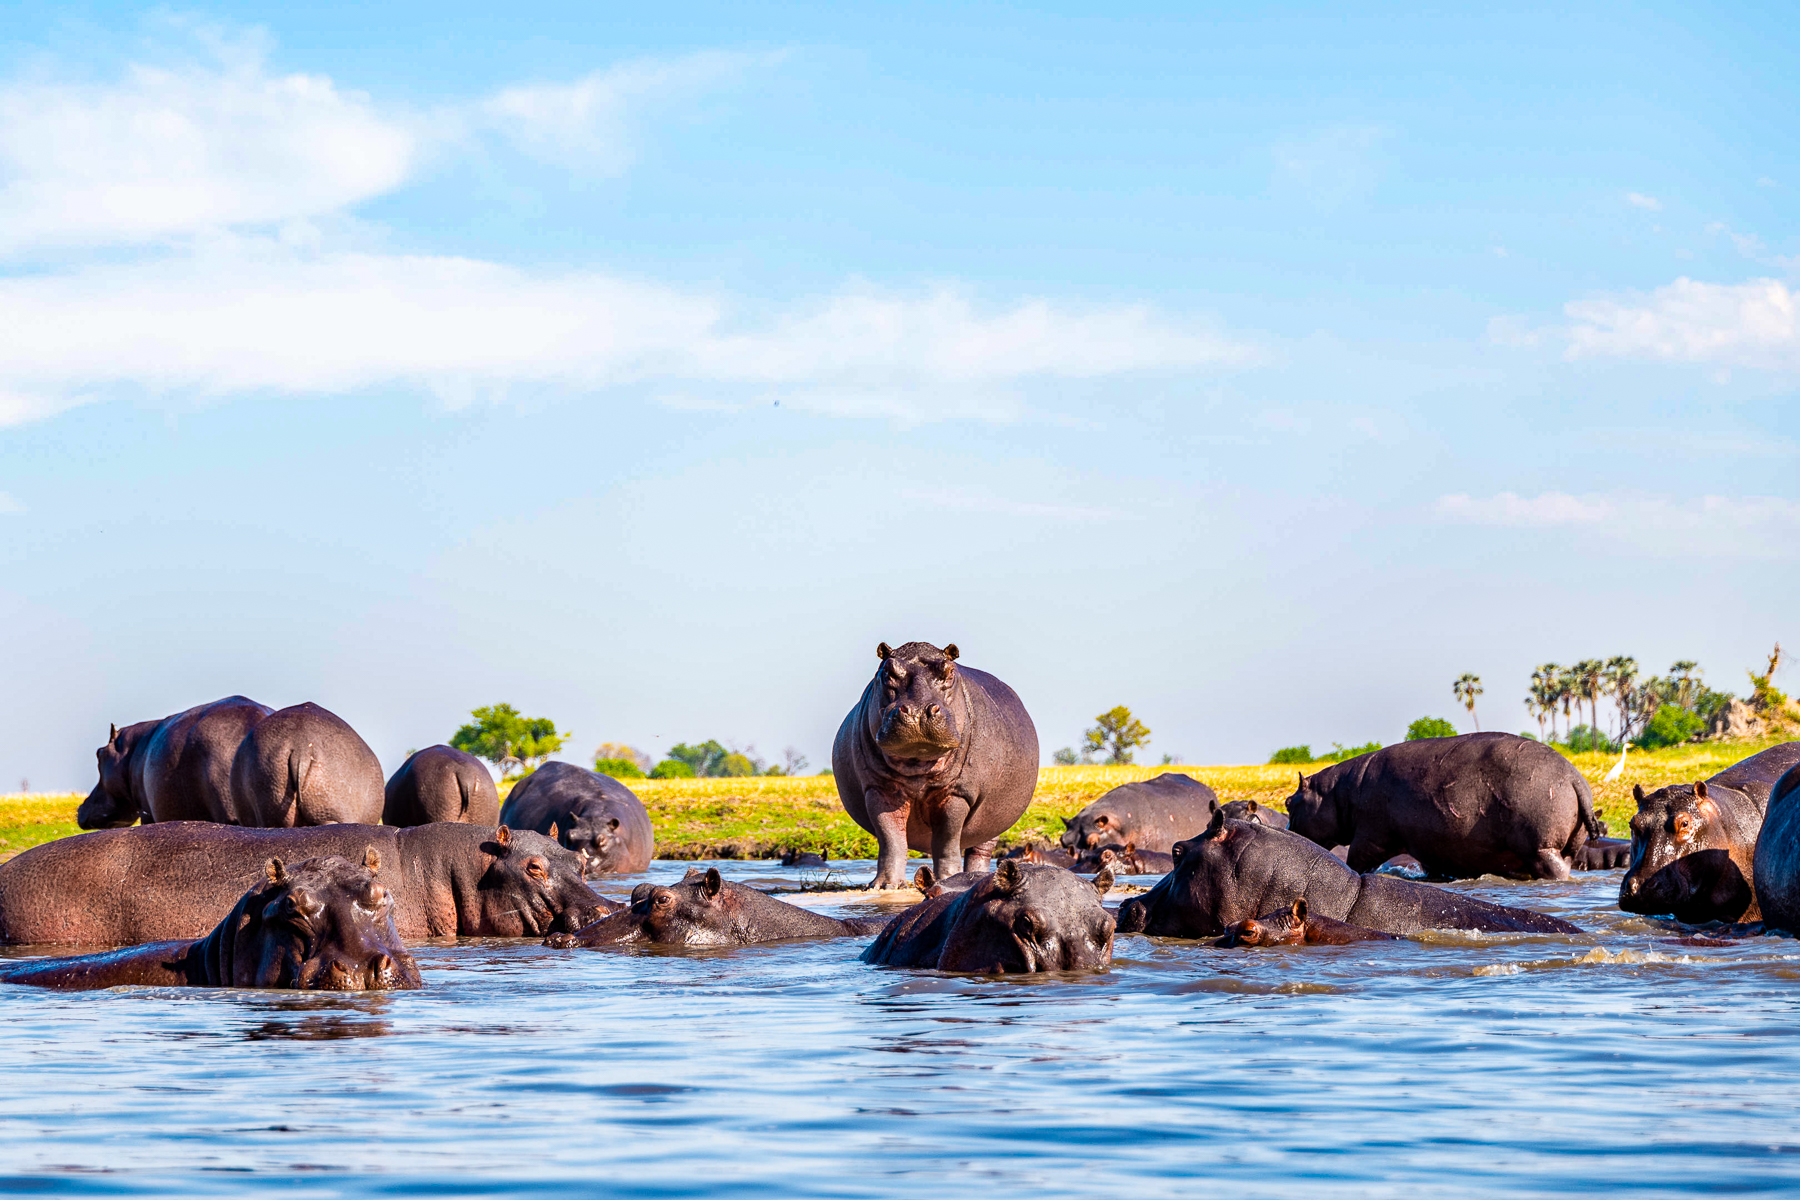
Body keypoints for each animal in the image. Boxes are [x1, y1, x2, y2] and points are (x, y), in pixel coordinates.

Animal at [834, 641, 1039, 889]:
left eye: (950, 671)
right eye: (887, 672)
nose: (918, 711)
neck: (918, 763)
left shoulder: (957, 793)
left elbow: (946, 840)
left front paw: (949, 878)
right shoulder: (878, 789)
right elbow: (890, 838)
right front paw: (885, 886)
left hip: (994, 821)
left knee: (979, 850)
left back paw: (978, 877)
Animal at [1284, 732, 1602, 880]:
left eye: (1289, 802)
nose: (1286, 829)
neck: (1337, 792)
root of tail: (1574, 778)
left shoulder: (1370, 836)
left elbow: (1357, 860)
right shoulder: (1429, 844)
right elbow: (1432, 865)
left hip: (1540, 848)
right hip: (1566, 846)